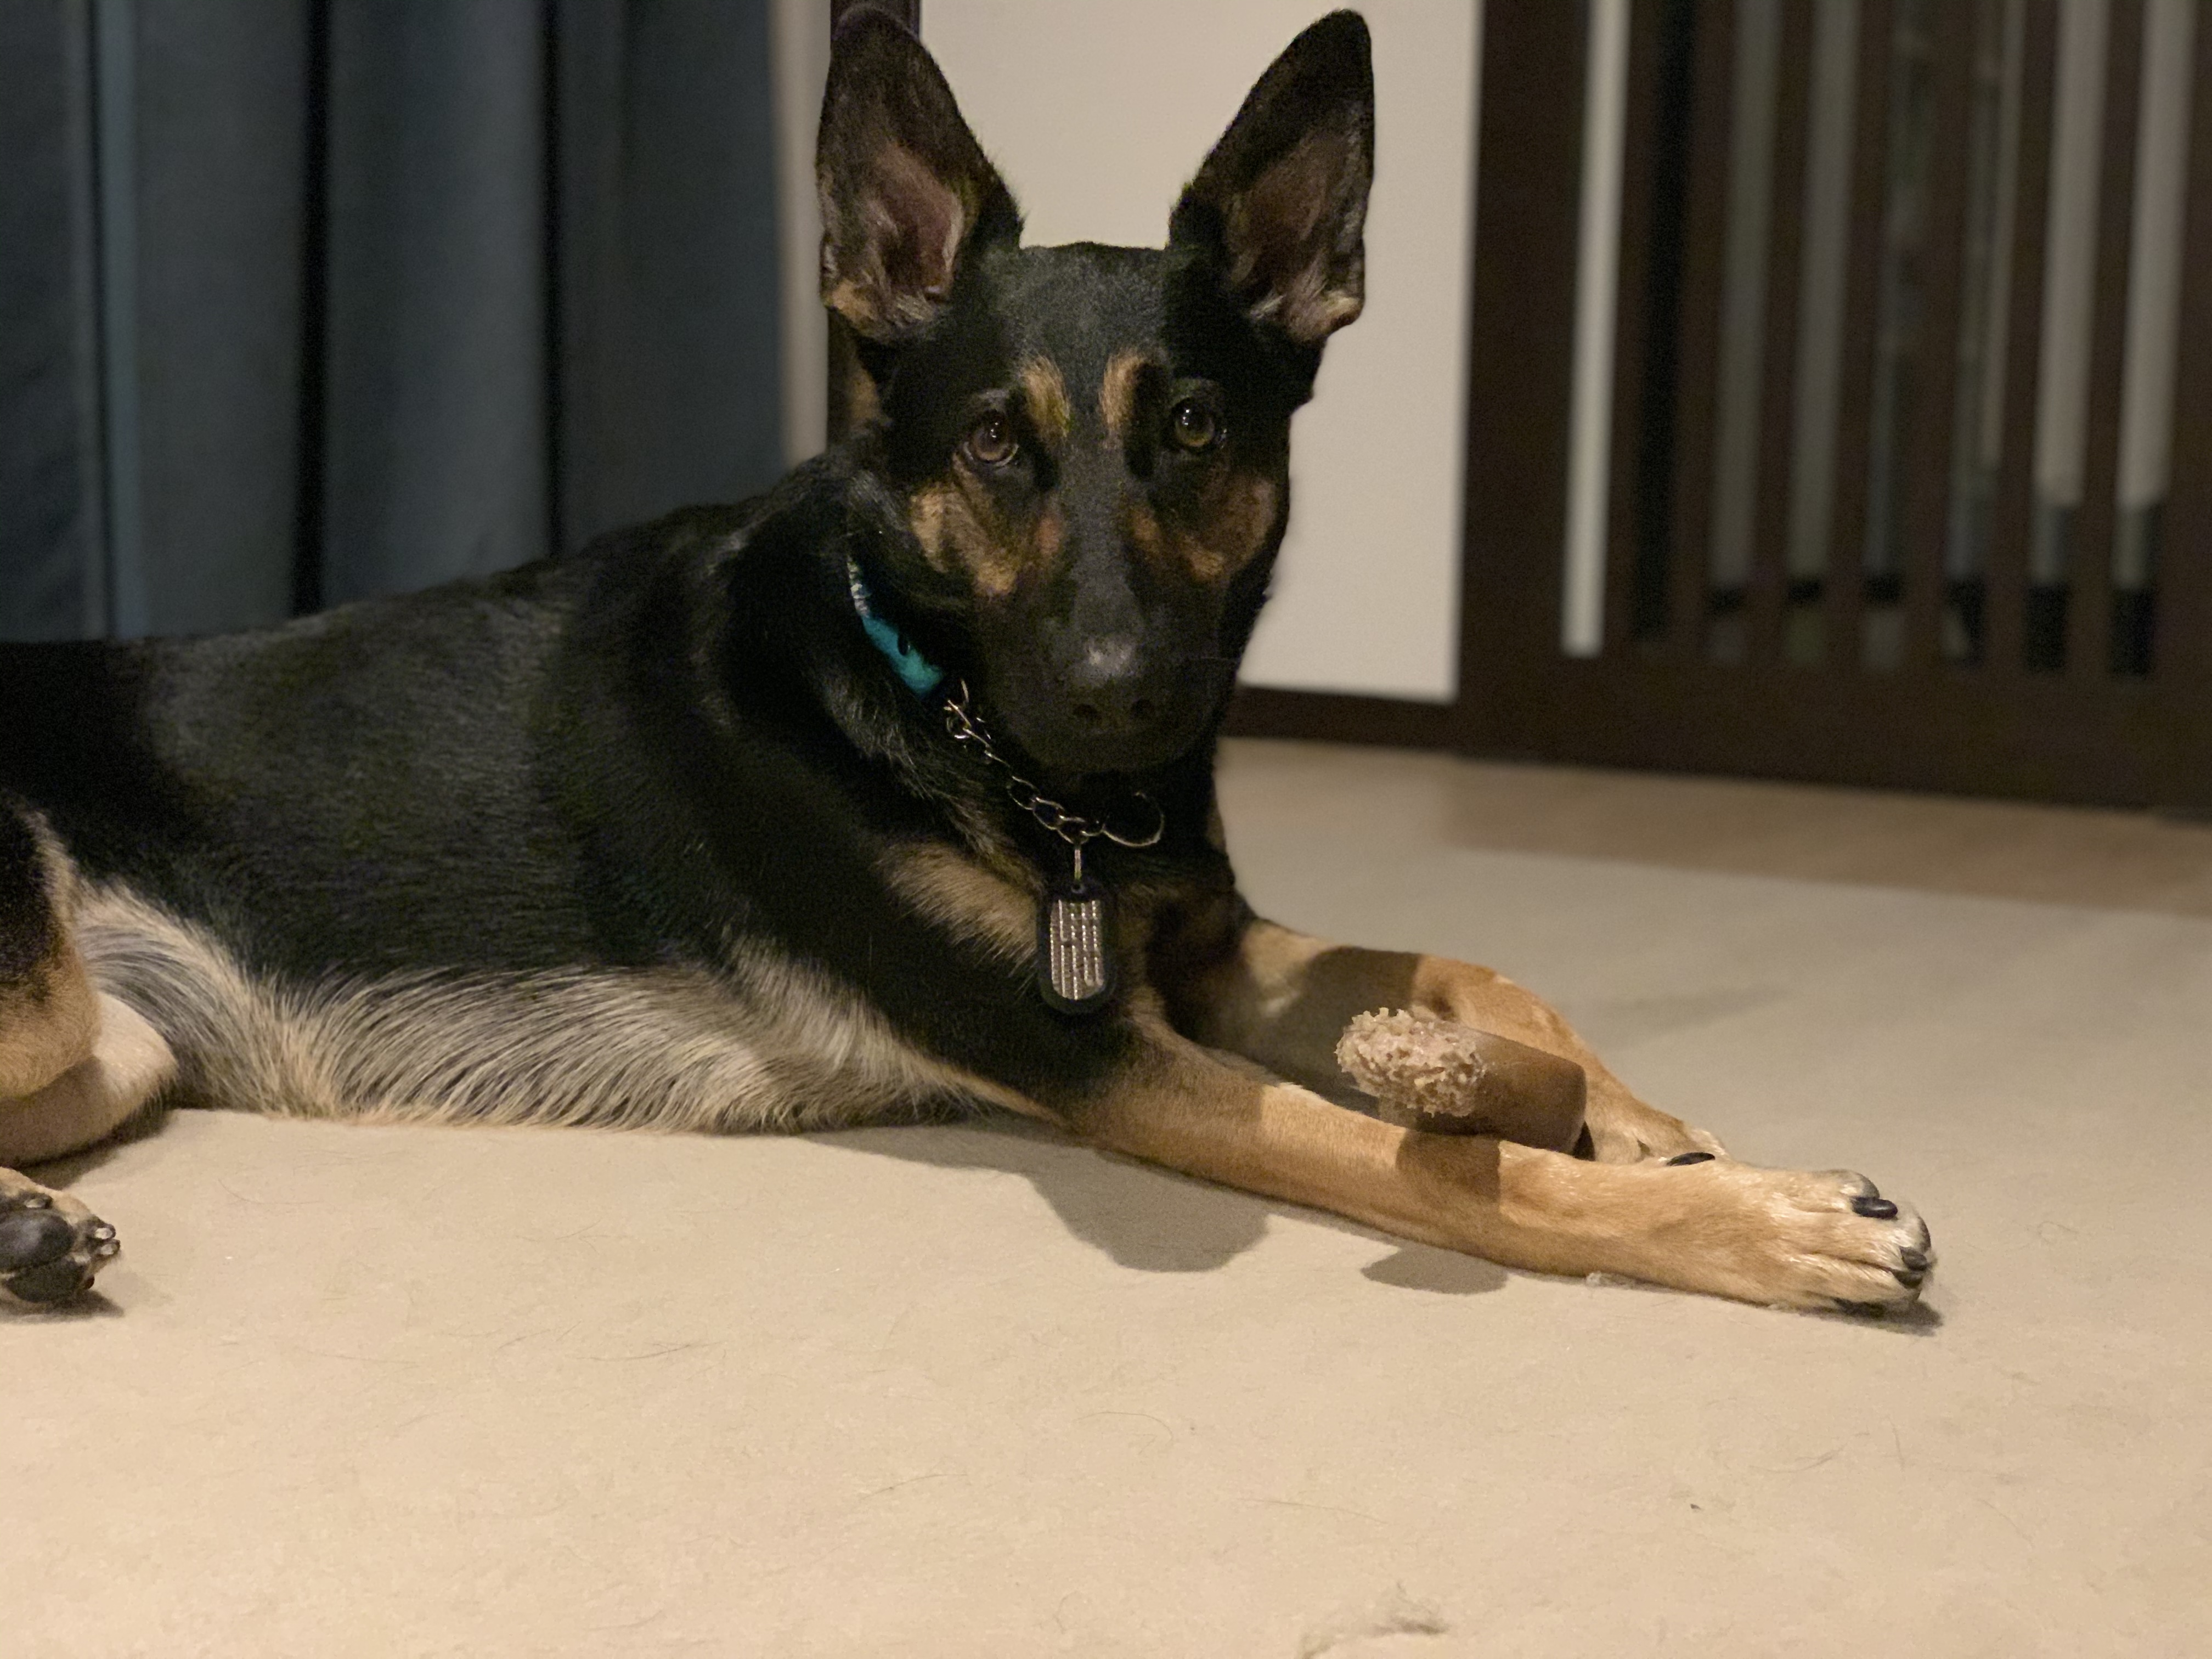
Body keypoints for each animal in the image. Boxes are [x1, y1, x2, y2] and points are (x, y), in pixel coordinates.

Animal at [0, 9, 1931, 1314]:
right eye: (997, 444)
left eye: (1198, 429)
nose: (1118, 692)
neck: (949, 716)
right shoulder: (1106, 1057)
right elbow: (1452, 1171)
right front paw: (1749, 1220)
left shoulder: (1201, 951)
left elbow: (1479, 971)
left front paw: (1646, 1117)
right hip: (48, 996)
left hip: (116, 1051)